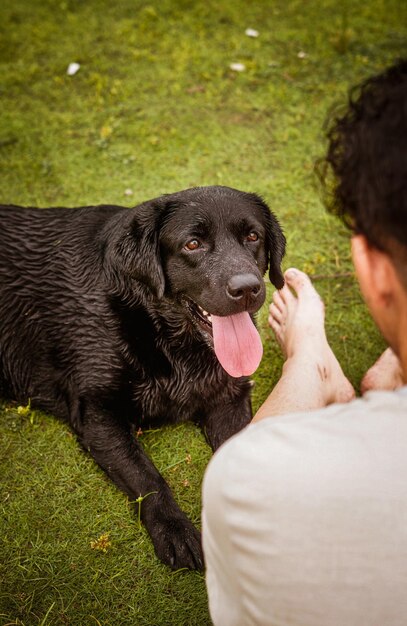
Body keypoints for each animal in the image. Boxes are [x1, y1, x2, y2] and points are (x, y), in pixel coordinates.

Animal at [0, 183, 286, 568]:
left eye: (253, 236)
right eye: (192, 244)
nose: (247, 289)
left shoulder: (227, 398)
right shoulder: (97, 412)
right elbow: (146, 475)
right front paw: (175, 530)